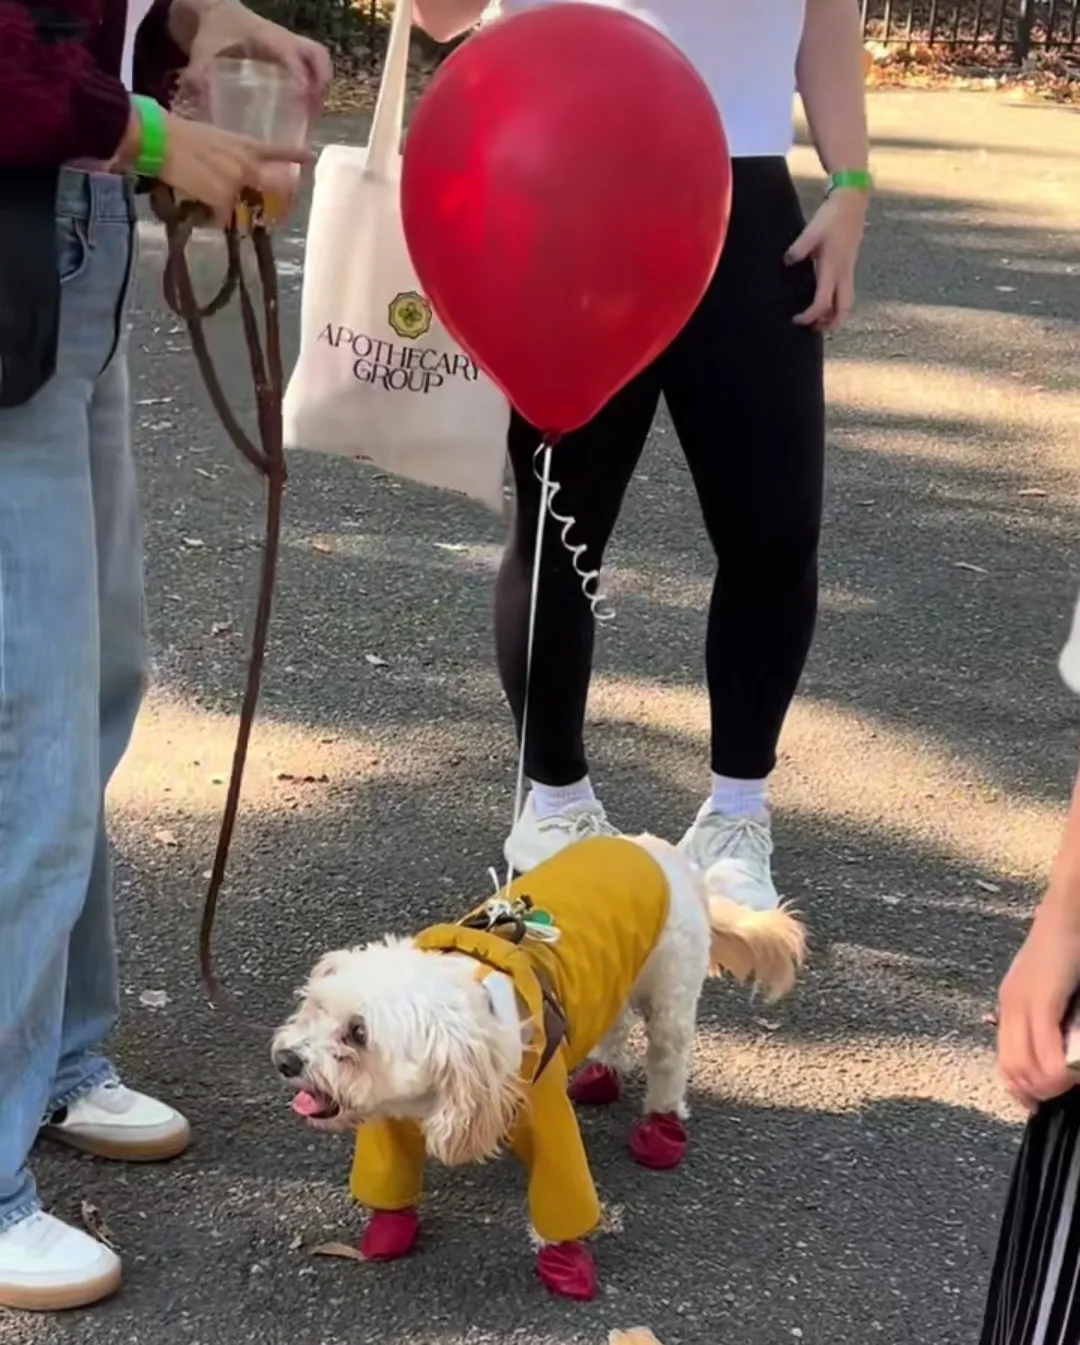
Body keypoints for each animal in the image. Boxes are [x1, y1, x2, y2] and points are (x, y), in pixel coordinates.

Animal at [274, 833, 806, 1296]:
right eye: (316, 1007)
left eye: (358, 1033)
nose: (285, 1059)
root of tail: (660, 850)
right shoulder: (388, 1121)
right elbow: (389, 1179)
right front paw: (390, 1229)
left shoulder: (545, 1115)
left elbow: (561, 1193)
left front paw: (565, 1263)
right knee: (614, 1022)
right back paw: (604, 1074)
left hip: (671, 986)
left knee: (668, 1057)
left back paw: (661, 1124)